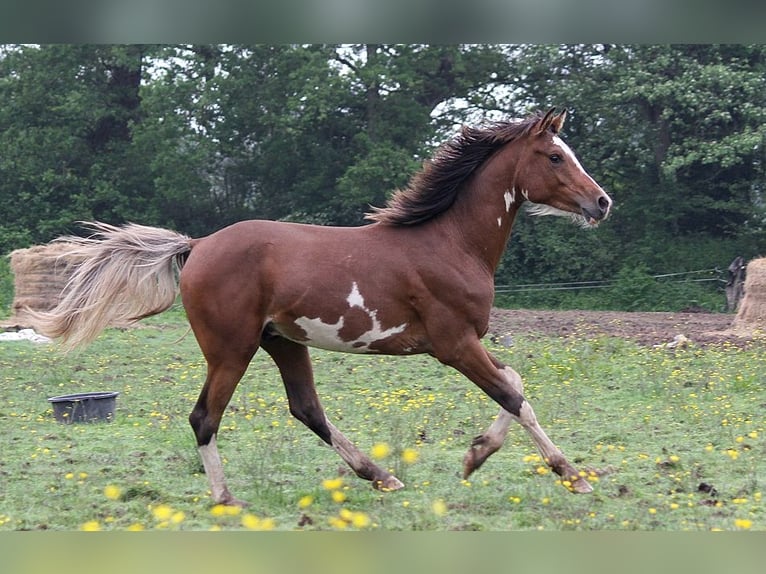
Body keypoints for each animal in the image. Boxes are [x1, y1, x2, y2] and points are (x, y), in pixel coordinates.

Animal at [33, 109, 616, 508]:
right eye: (555, 156)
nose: (602, 202)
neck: (450, 243)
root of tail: (197, 245)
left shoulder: (466, 343)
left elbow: (514, 383)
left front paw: (476, 455)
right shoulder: (453, 345)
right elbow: (515, 397)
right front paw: (571, 474)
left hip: (283, 344)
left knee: (306, 409)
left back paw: (382, 476)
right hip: (231, 350)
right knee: (205, 417)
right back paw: (227, 499)